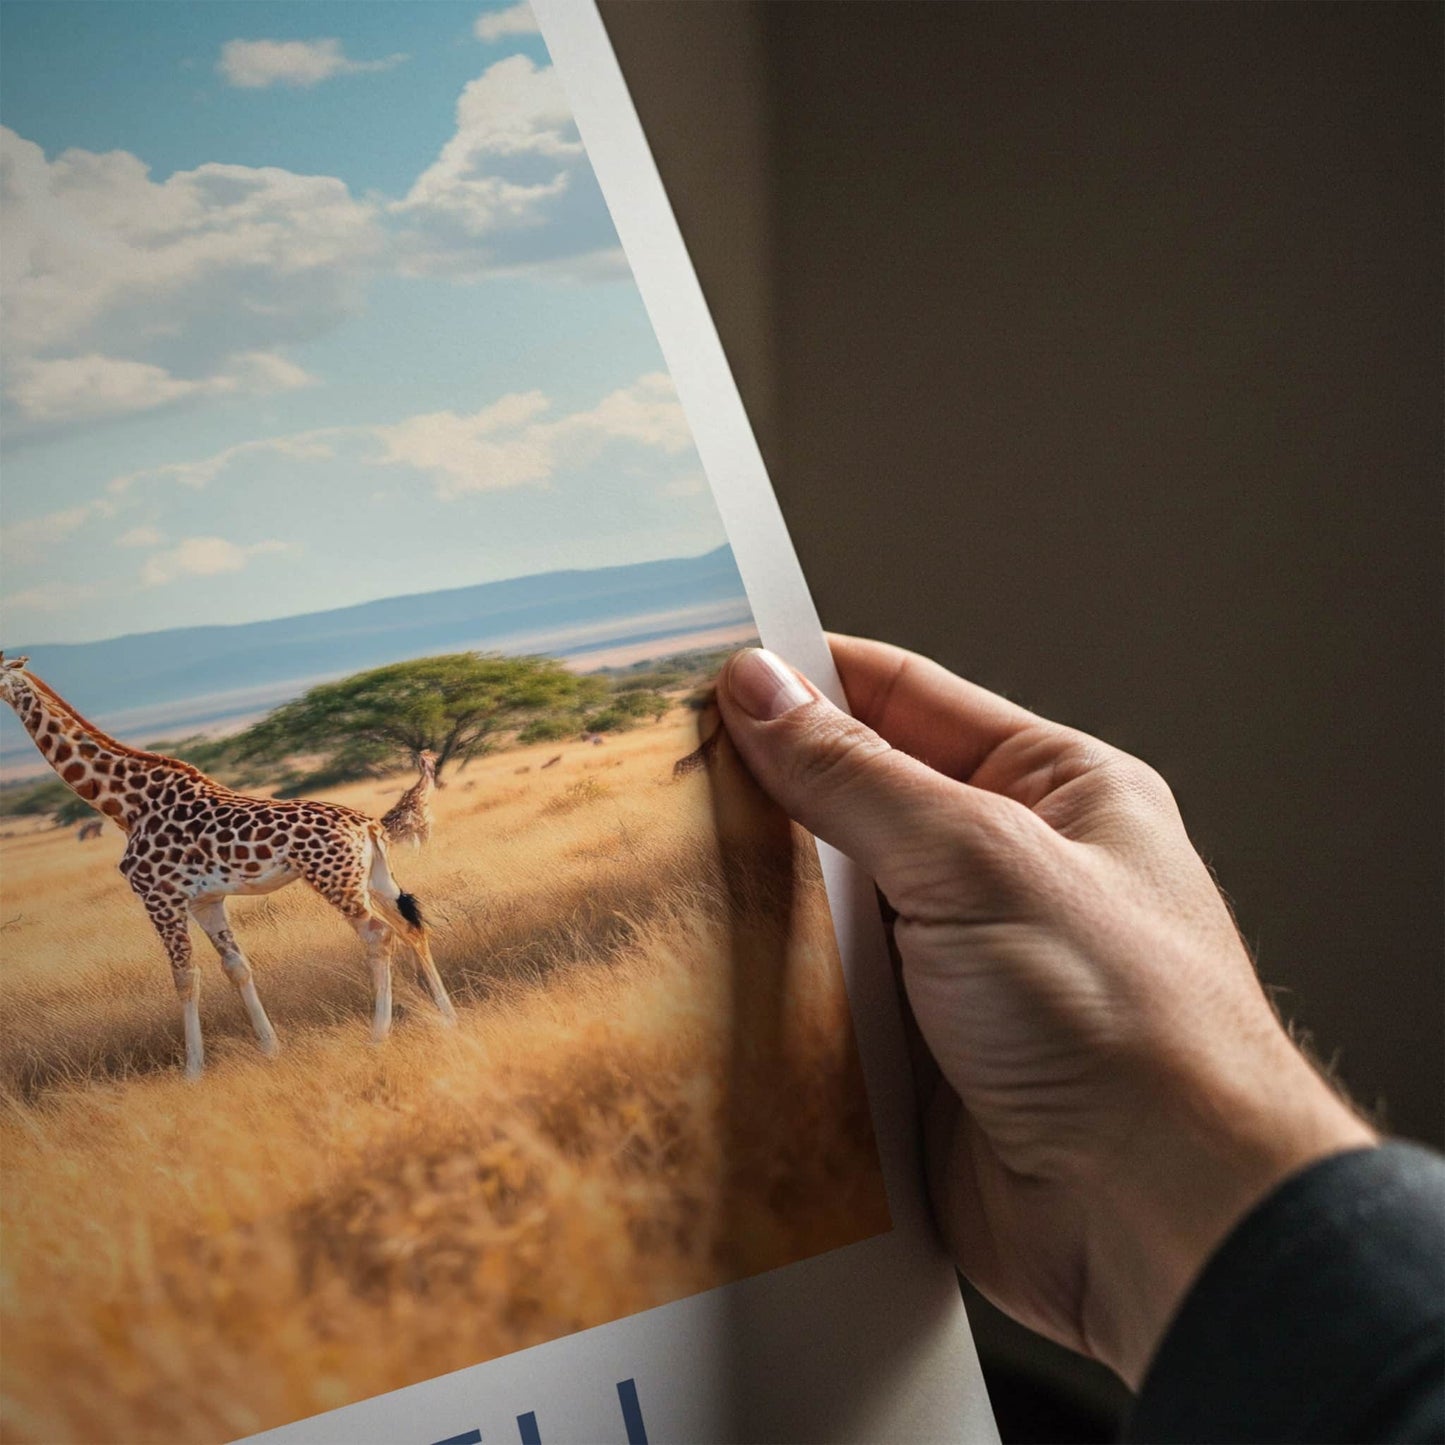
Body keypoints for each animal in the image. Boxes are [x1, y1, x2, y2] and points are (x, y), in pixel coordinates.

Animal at [0, 654, 455, 1078]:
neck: (125, 805)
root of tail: (368, 825)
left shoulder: (159, 897)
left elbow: (184, 976)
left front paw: (192, 1071)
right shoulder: (205, 900)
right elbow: (236, 967)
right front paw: (270, 1048)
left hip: (335, 880)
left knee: (378, 935)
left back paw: (378, 1034)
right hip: (375, 879)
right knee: (411, 925)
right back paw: (446, 1014)